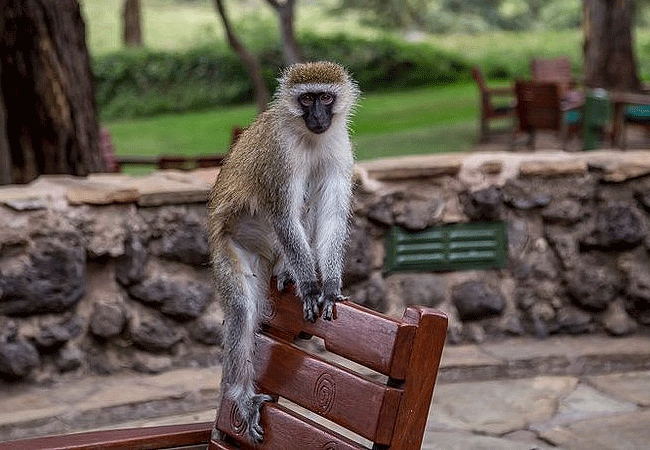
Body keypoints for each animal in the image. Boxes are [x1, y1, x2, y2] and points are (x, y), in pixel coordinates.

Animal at [209, 60, 356, 442]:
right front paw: (310, 286)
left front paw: (329, 286)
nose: (317, 116)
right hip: (230, 245)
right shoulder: (280, 155)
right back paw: (242, 396)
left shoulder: (339, 146)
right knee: (242, 310)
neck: (310, 138)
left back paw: (285, 270)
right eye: (306, 99)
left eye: (325, 97)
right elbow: (284, 216)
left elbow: (332, 215)